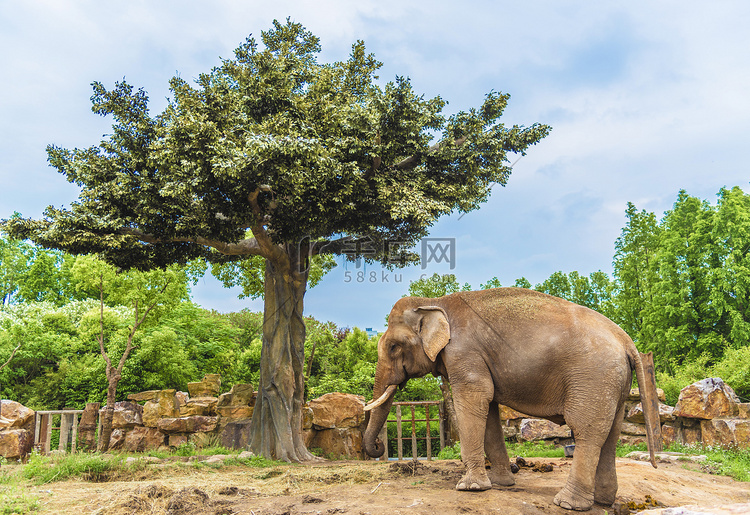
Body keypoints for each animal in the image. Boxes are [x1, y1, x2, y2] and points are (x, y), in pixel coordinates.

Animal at [368, 290, 660, 512]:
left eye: (393, 347)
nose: (380, 447)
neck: (434, 301)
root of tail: (627, 341)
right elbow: (489, 411)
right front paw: (500, 483)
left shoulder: (464, 353)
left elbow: (474, 400)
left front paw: (469, 488)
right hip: (615, 384)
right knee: (610, 434)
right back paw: (602, 501)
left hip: (594, 378)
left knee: (587, 431)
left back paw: (567, 504)